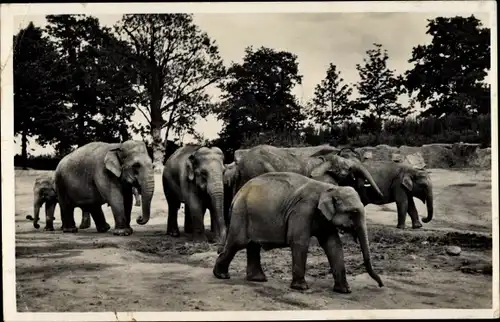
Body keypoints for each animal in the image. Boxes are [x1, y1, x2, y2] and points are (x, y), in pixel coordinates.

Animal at [213, 172, 384, 294]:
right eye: (353, 212)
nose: (381, 285)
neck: (328, 188)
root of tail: (237, 194)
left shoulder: (323, 218)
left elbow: (333, 245)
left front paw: (345, 291)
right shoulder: (303, 210)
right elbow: (298, 241)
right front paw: (301, 288)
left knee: (252, 245)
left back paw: (257, 279)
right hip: (241, 213)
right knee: (238, 243)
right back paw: (221, 276)